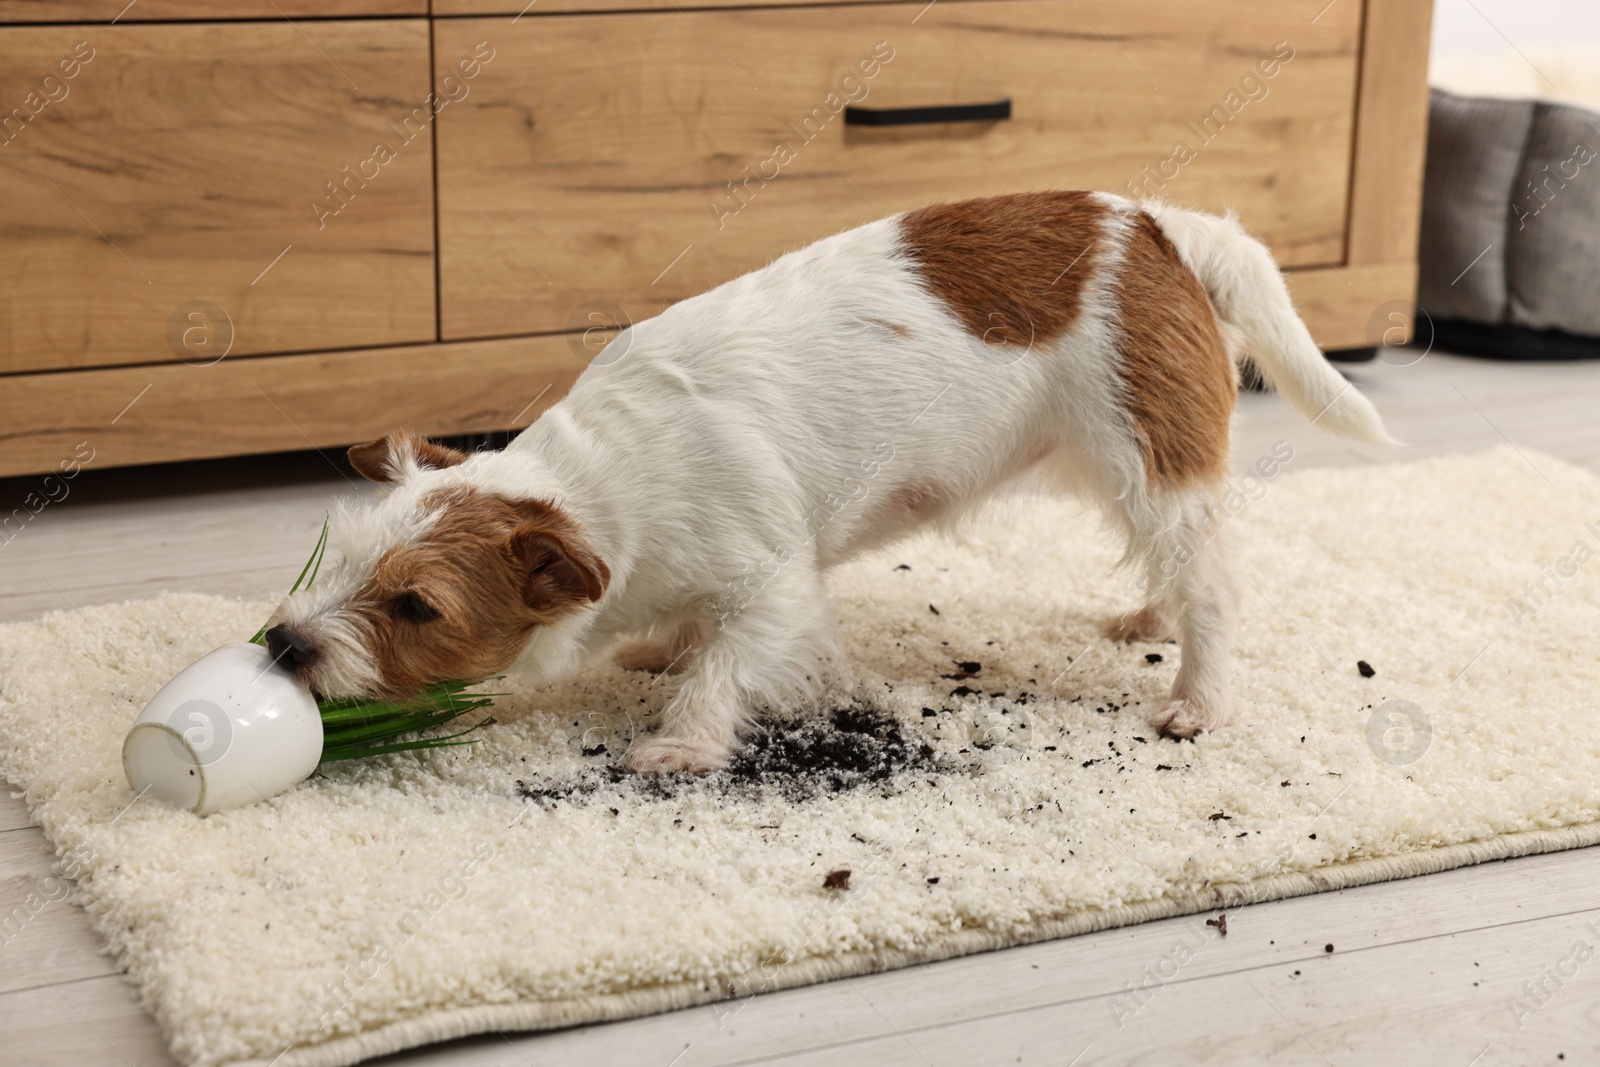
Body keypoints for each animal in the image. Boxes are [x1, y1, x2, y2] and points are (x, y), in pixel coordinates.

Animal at [262, 191, 1388, 771]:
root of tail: (1159, 222)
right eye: (339, 556)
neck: (611, 471)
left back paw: (1199, 696)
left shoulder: (775, 589)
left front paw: (681, 741)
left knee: (1214, 581)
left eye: (417, 606)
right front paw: (664, 642)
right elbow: (689, 631)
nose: (281, 644)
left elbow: (727, 662)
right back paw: (1150, 614)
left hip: (1146, 459)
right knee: (1178, 564)